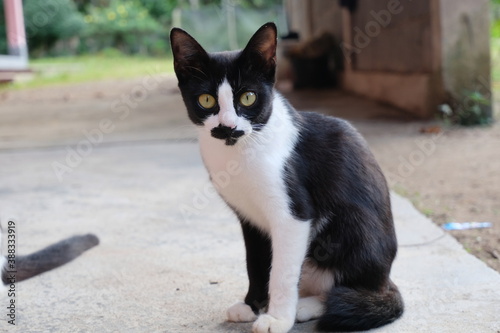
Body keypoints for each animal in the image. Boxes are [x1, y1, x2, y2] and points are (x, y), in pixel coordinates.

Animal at [170, 22, 404, 330]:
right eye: (206, 100)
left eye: (248, 97)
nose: (228, 126)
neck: (239, 152)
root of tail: (386, 277)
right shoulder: (249, 220)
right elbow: (256, 263)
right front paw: (252, 305)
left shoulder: (294, 215)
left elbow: (281, 272)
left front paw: (278, 318)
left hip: (352, 226)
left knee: (354, 290)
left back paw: (307, 306)